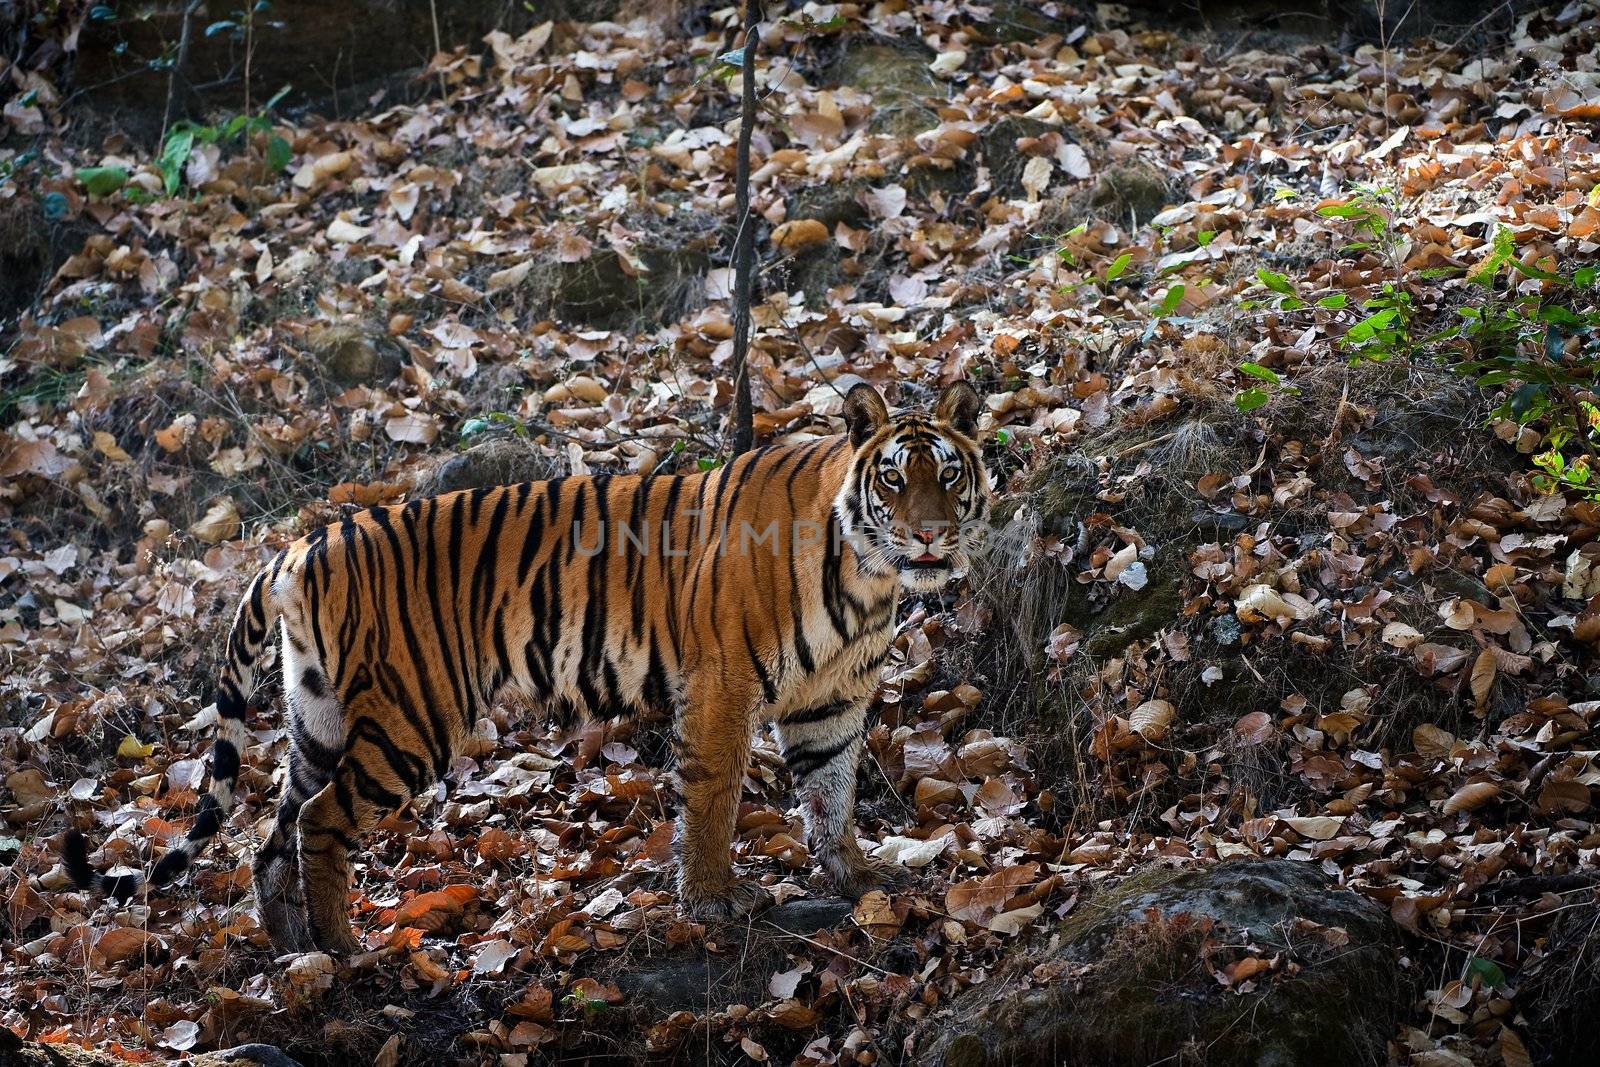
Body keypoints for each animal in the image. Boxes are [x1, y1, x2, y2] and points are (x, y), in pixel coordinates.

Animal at [65, 379, 985, 953]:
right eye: (893, 480)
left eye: (949, 475)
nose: (931, 534)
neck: (868, 580)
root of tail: (301, 543)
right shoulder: (722, 688)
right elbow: (714, 798)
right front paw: (714, 897)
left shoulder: (831, 699)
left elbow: (833, 793)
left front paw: (857, 876)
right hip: (411, 718)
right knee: (320, 820)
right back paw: (347, 946)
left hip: (317, 718)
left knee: (272, 832)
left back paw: (296, 949)